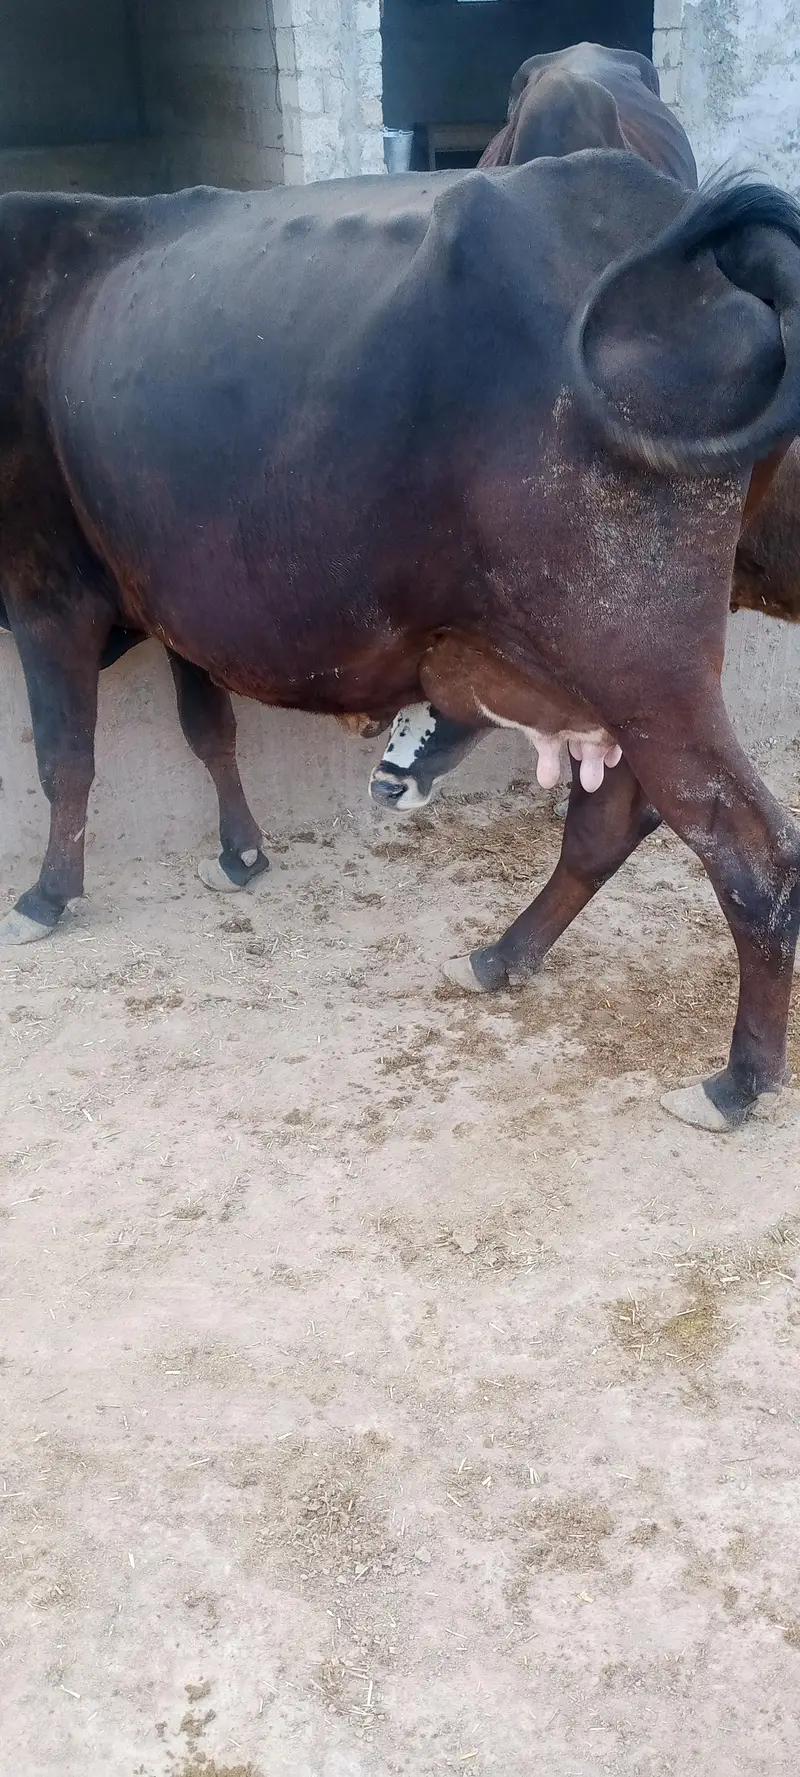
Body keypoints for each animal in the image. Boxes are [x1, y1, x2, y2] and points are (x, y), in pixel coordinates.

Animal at [0, 155, 799, 1134]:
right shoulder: (176, 595)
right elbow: (208, 728)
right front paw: (241, 854)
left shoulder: (45, 584)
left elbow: (66, 757)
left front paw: (46, 896)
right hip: (618, 680)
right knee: (613, 822)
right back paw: (501, 955)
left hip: (641, 658)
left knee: (753, 853)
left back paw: (738, 1079)